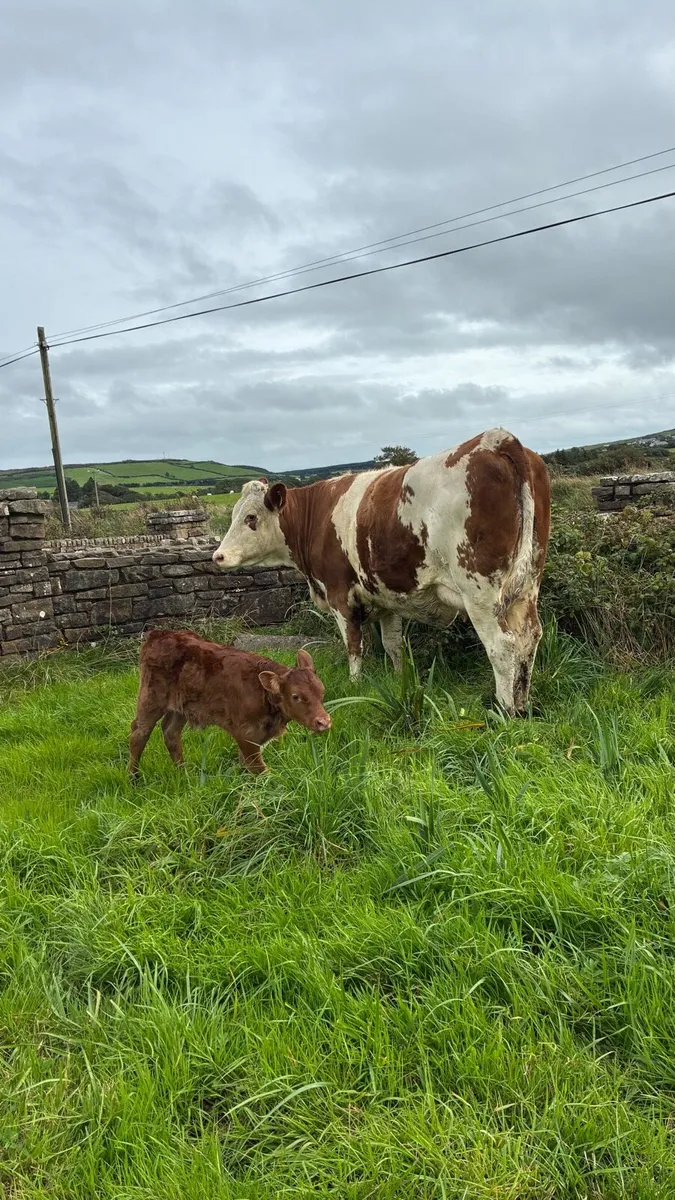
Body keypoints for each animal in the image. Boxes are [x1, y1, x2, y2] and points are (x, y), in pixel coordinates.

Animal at [129, 629, 331, 777]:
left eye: (322, 691)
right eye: (296, 696)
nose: (324, 722)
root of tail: (158, 633)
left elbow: (246, 764)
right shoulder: (245, 733)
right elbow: (260, 770)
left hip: (181, 706)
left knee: (170, 731)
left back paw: (183, 772)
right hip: (151, 697)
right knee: (139, 732)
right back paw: (133, 778)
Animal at [212, 428, 551, 715]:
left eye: (251, 517)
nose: (218, 556)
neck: (316, 516)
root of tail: (496, 438)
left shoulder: (339, 593)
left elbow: (353, 644)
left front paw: (355, 685)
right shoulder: (386, 597)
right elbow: (393, 645)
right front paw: (400, 680)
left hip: (480, 591)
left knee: (501, 646)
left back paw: (505, 709)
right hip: (527, 585)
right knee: (529, 637)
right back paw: (523, 703)